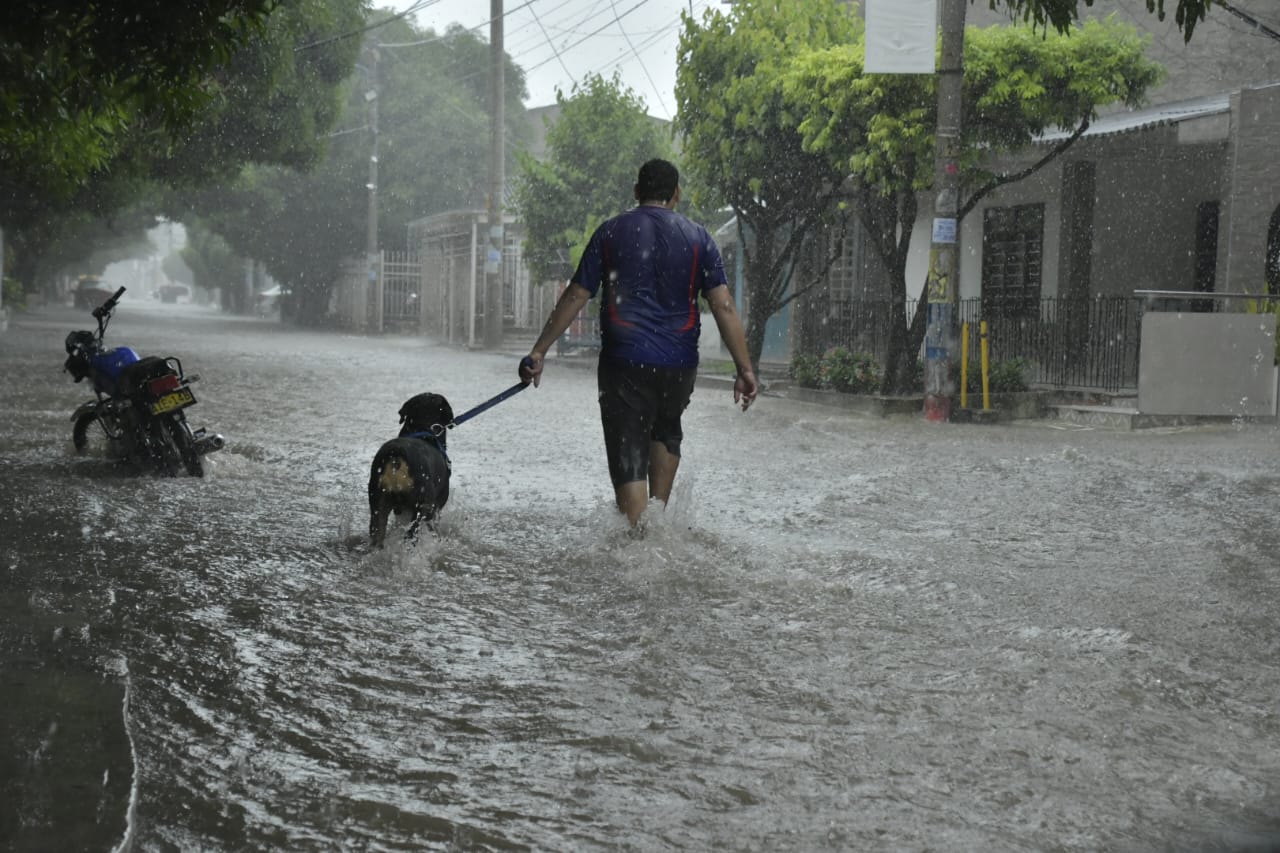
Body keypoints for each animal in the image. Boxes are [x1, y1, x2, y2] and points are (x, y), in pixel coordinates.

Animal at [368, 391, 453, 545]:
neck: (422, 429)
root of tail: (396, 453)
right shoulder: (435, 508)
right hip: (422, 507)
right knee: (411, 536)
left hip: (378, 503)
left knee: (377, 535)